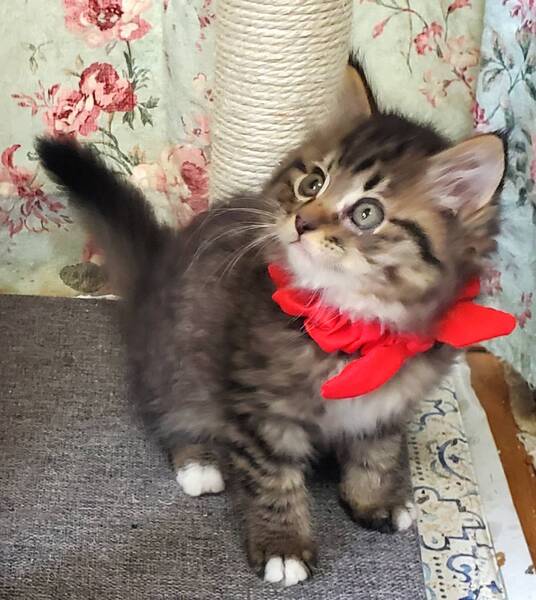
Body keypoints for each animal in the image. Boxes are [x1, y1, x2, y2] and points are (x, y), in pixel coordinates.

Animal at [36, 64, 505, 587]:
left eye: (367, 213)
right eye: (312, 183)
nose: (302, 222)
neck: (354, 329)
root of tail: (158, 269)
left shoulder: (386, 408)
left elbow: (378, 456)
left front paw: (374, 501)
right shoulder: (260, 407)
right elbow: (272, 479)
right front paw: (284, 546)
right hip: (182, 358)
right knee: (173, 414)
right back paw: (198, 464)